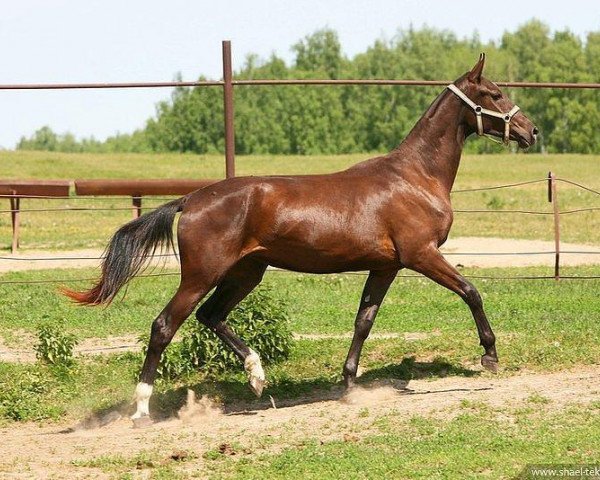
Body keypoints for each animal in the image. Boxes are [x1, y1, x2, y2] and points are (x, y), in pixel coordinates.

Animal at [62, 54, 540, 426]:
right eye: (494, 94)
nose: (531, 132)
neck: (415, 177)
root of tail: (191, 199)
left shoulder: (385, 265)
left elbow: (364, 320)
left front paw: (348, 382)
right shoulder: (421, 255)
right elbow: (471, 291)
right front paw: (490, 355)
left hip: (247, 272)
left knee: (211, 316)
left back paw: (257, 376)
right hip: (201, 274)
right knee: (165, 325)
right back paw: (142, 409)